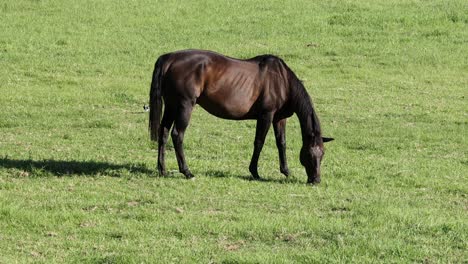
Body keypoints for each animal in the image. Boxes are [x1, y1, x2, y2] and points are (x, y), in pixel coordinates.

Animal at [150, 49, 332, 184]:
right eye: (309, 154)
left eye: (322, 154)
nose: (316, 180)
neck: (282, 81)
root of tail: (170, 58)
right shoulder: (266, 115)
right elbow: (259, 142)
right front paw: (255, 172)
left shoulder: (279, 118)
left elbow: (281, 143)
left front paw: (286, 171)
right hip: (184, 106)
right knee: (177, 135)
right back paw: (187, 172)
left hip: (171, 106)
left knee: (163, 133)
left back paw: (162, 170)